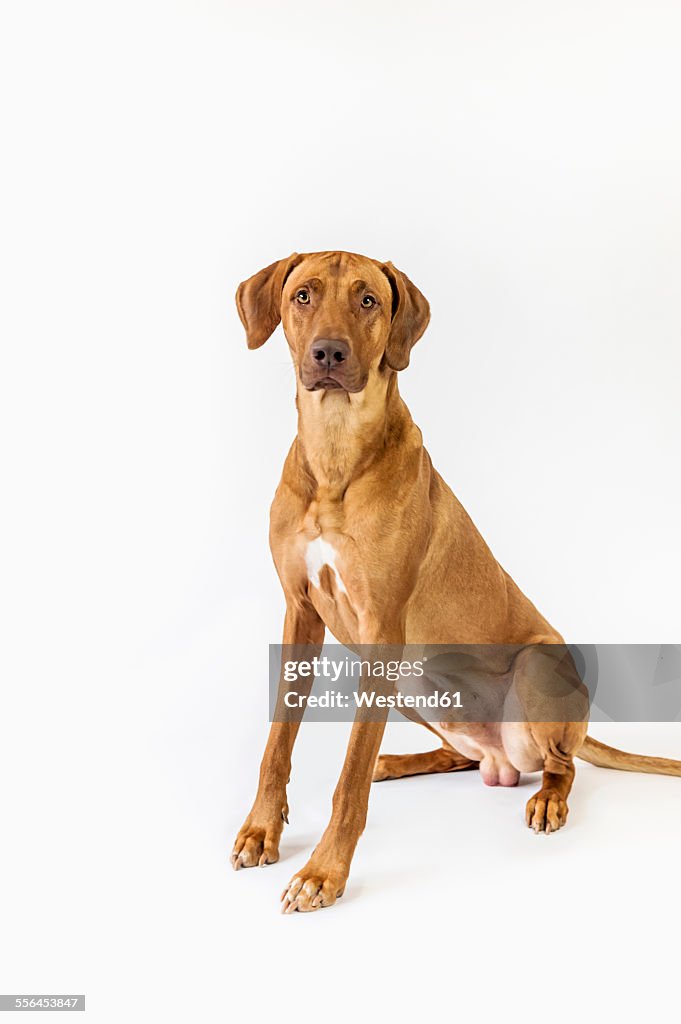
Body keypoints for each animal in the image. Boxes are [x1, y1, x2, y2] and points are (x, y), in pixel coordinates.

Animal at [231, 251, 675, 917]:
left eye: (368, 300)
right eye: (302, 295)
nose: (329, 353)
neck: (335, 456)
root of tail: (505, 757)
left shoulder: (383, 630)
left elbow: (347, 779)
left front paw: (323, 872)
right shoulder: (300, 614)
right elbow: (277, 743)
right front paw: (262, 829)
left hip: (534, 666)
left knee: (562, 765)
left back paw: (548, 797)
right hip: (413, 682)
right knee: (458, 756)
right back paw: (399, 761)